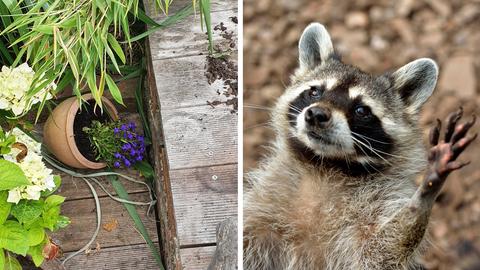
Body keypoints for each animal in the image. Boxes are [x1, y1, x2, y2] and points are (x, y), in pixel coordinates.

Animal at [244, 23, 476, 270]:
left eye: (362, 110)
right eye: (315, 91)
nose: (316, 115)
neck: (325, 166)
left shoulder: (380, 204)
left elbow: (382, 252)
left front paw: (423, 196)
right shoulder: (264, 205)